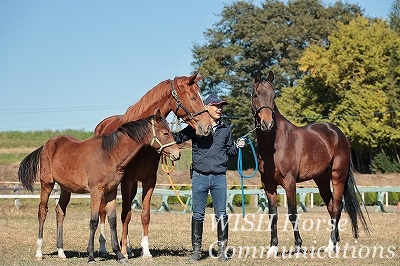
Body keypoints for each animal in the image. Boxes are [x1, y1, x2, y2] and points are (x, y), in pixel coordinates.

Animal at [17, 110, 180, 264]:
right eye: (166, 133)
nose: (177, 154)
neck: (109, 155)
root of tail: (46, 145)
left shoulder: (111, 192)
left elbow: (113, 220)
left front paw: (120, 255)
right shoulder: (95, 192)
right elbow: (93, 221)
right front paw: (91, 256)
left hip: (65, 188)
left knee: (60, 211)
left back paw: (61, 252)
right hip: (47, 184)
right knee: (42, 211)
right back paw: (39, 253)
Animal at [94, 74, 212, 258]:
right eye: (193, 97)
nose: (206, 126)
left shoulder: (149, 180)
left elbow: (144, 215)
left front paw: (145, 251)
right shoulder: (127, 181)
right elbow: (125, 214)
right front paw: (123, 252)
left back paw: (128, 246)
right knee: (103, 211)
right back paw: (103, 247)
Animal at [252, 70, 370, 256]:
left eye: (274, 95)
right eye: (256, 95)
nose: (267, 123)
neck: (274, 144)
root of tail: (338, 134)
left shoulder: (289, 182)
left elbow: (292, 214)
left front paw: (298, 246)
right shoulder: (268, 185)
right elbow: (273, 215)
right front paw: (272, 248)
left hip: (338, 177)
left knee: (337, 207)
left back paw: (330, 245)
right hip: (321, 180)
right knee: (331, 207)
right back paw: (335, 243)